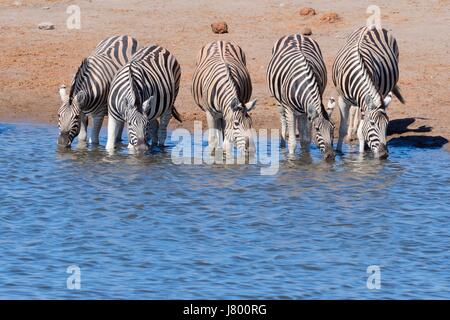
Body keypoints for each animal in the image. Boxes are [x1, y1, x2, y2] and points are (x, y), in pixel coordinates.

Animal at [332, 26, 406, 159]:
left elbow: (362, 132)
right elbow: (342, 128)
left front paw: (361, 156)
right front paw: (339, 151)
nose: (384, 154)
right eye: (372, 123)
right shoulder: (342, 100)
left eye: (387, 125)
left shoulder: (365, 105)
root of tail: (372, 26)